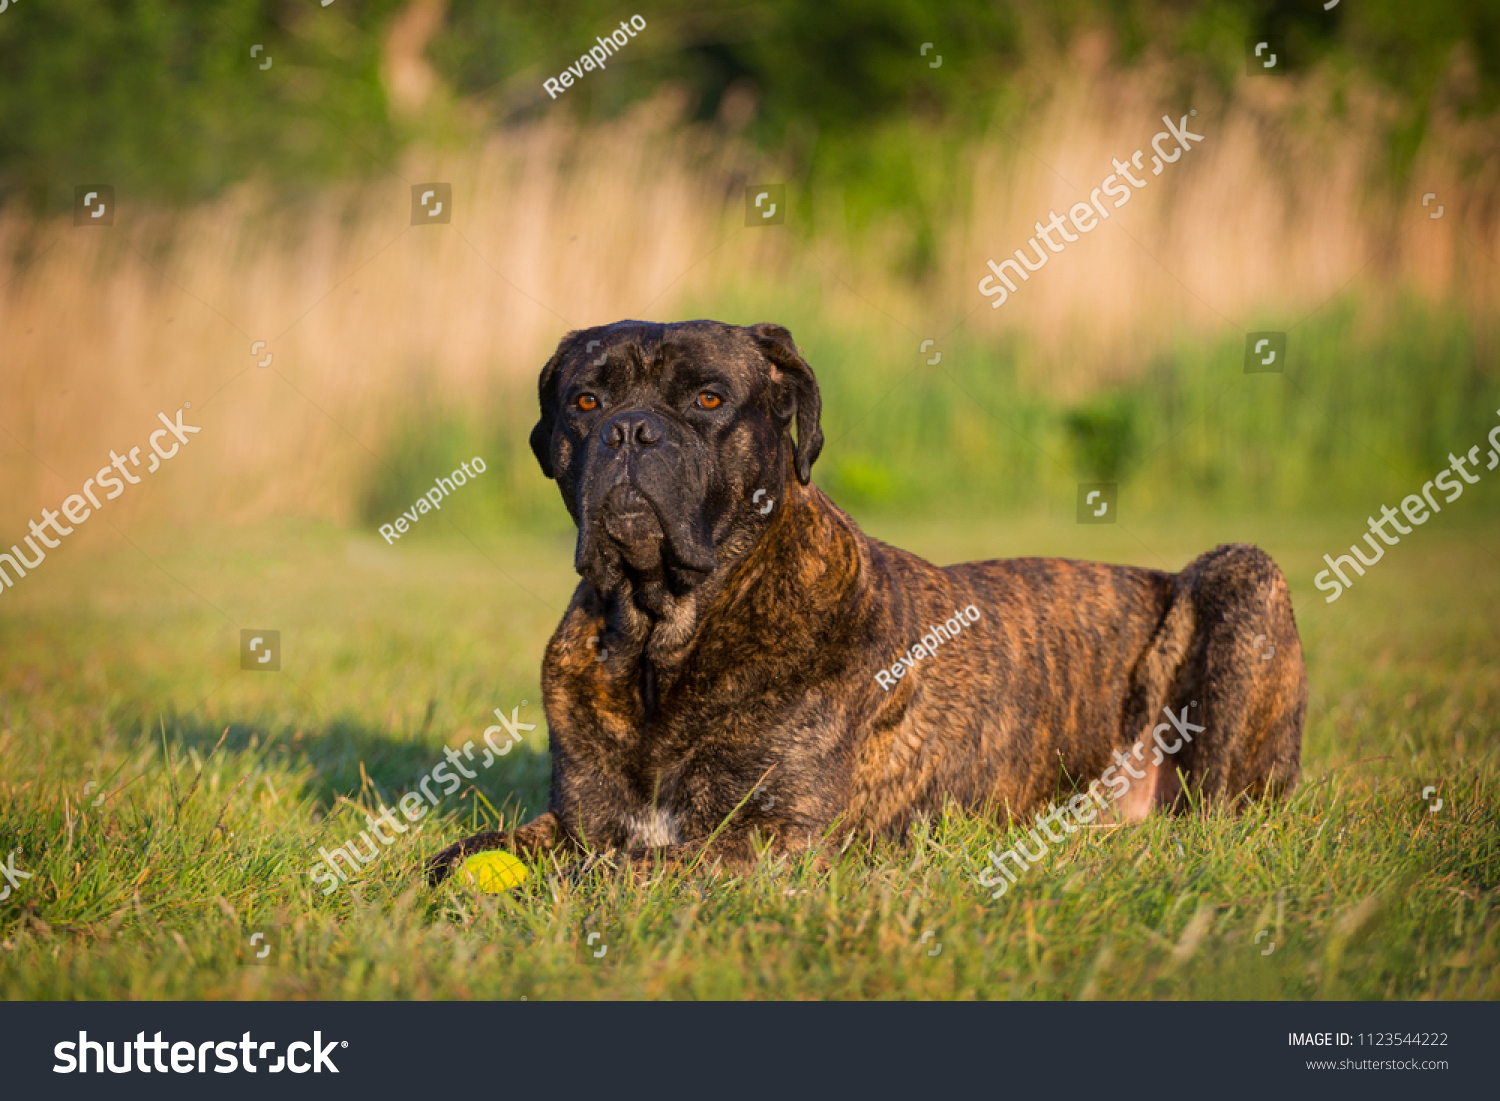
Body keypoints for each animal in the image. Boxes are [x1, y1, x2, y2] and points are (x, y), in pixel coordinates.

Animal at [423, 321, 1302, 888]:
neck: (660, 634)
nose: (632, 431)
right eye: (585, 403)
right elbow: (482, 848)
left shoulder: (775, 839)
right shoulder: (577, 818)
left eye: (708, 399)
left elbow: (614, 868)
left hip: (1241, 577)